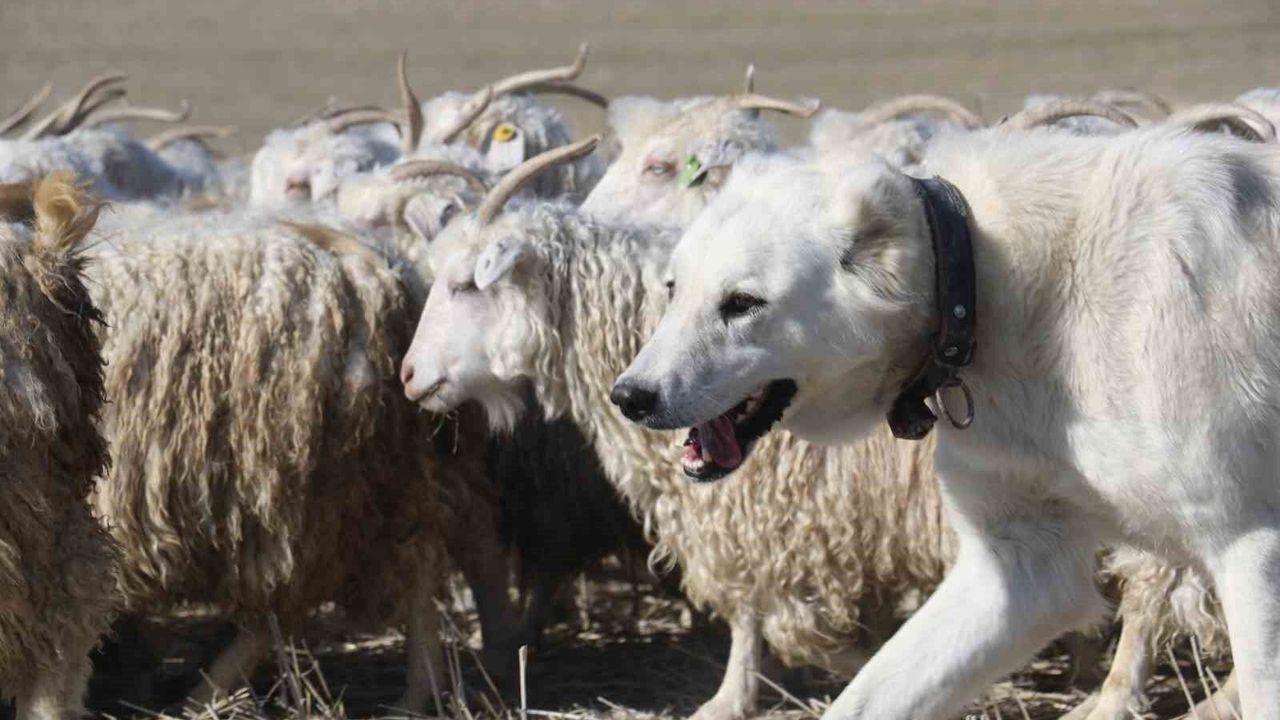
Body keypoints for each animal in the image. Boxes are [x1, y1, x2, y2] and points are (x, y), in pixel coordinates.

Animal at [83, 207, 482, 712]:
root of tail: (378, 269)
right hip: (396, 467)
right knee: (419, 560)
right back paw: (415, 696)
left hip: (281, 486)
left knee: (276, 604)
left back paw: (202, 697)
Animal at [613, 105, 1280, 719]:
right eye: (673, 288)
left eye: (743, 303)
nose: (630, 398)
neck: (985, 279)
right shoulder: (1021, 565)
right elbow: (865, 699)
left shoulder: (1251, 547)